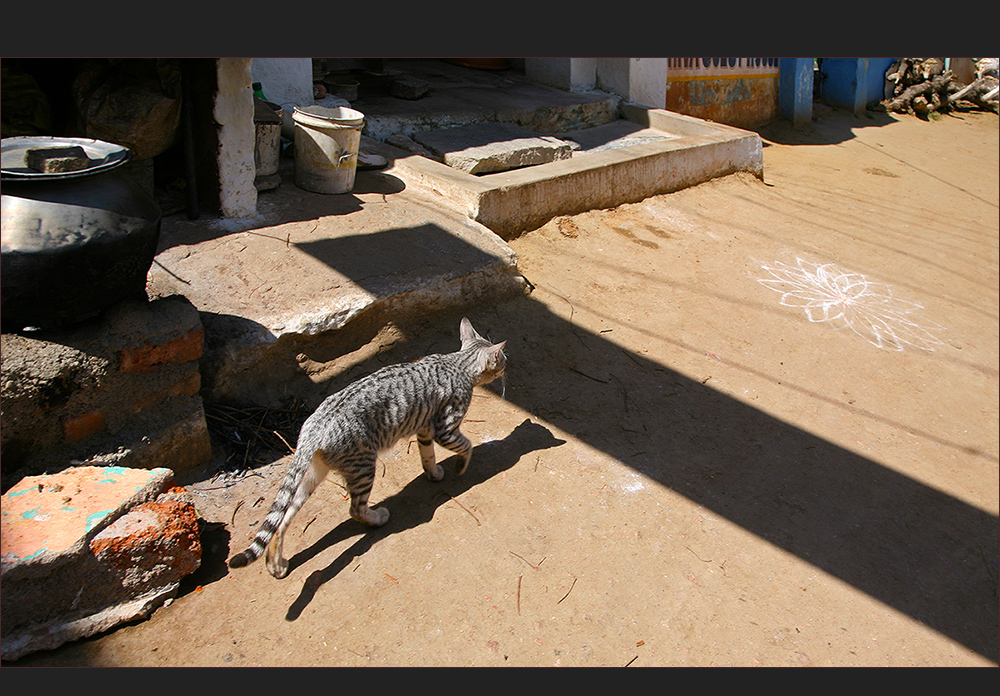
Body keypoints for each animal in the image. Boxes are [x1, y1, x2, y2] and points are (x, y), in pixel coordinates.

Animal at [229, 318, 504, 580]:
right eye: (503, 360)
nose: (507, 364)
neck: (458, 363)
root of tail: (314, 426)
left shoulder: (425, 430)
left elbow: (427, 456)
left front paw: (433, 474)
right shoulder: (444, 429)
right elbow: (467, 446)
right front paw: (459, 467)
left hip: (312, 474)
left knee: (281, 518)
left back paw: (275, 564)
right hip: (363, 466)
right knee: (355, 509)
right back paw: (378, 518)